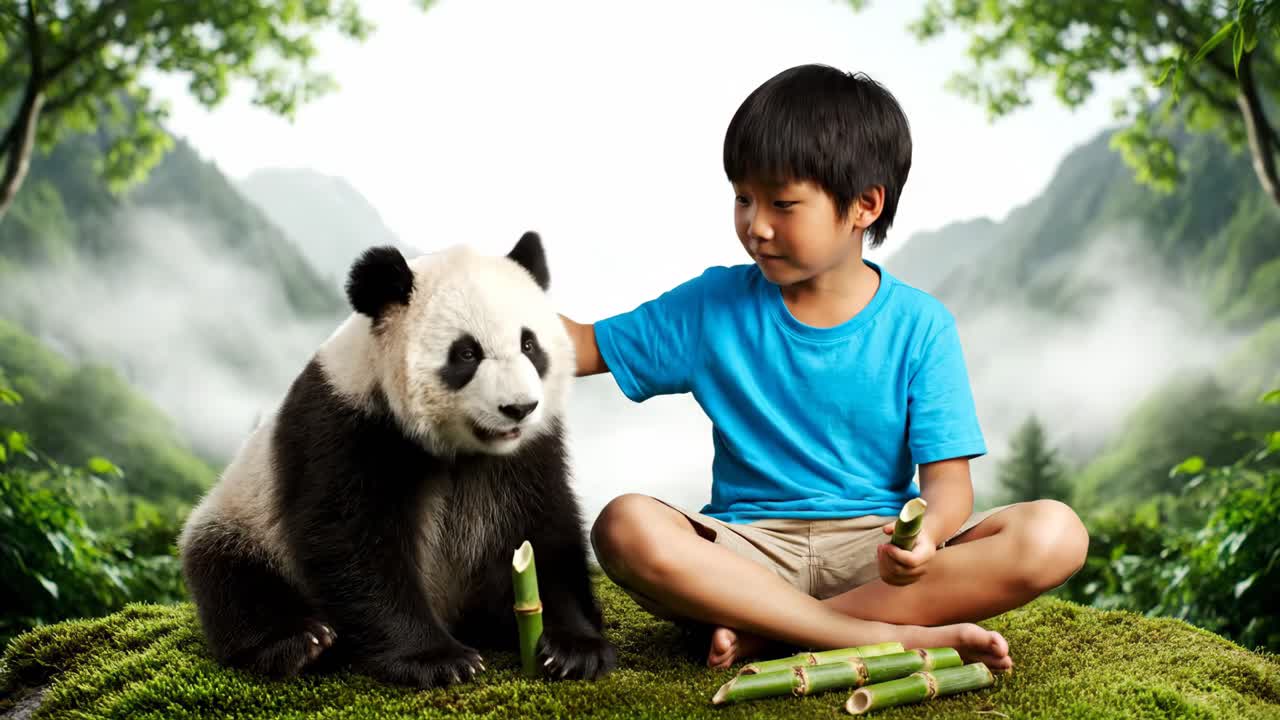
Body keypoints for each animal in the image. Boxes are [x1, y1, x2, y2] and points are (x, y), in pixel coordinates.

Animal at [177, 232, 616, 688]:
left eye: (529, 345)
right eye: (466, 353)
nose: (519, 408)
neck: (463, 448)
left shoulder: (530, 452)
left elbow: (543, 531)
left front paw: (573, 649)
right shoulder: (348, 428)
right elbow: (354, 543)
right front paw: (437, 659)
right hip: (243, 519)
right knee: (236, 581)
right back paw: (302, 643)